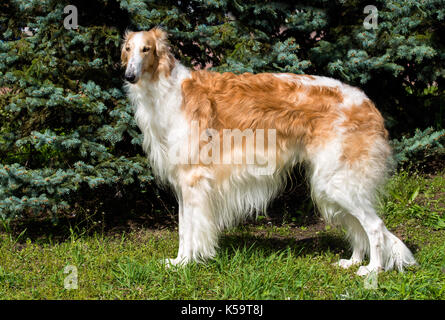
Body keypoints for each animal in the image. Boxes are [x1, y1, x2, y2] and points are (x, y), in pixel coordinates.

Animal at [119, 26, 414, 276]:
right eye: (127, 49)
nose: (129, 76)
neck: (167, 91)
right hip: (331, 183)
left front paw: (186, 263)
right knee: (358, 227)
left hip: (337, 181)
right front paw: (177, 261)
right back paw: (352, 261)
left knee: (374, 226)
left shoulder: (193, 180)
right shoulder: (183, 183)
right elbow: (183, 229)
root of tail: (368, 103)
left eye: (146, 49)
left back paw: (372, 269)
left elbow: (191, 229)